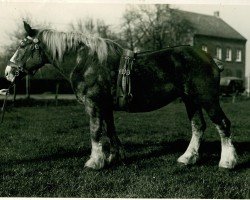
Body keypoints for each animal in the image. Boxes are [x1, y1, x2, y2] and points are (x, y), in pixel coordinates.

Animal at [4, 21, 238, 169]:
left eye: (23, 45)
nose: (8, 72)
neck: (86, 62)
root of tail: (209, 58)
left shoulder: (94, 105)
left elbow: (96, 132)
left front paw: (95, 162)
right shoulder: (105, 106)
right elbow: (110, 131)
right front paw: (114, 157)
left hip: (207, 99)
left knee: (223, 124)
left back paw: (227, 162)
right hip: (191, 100)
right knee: (198, 127)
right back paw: (188, 158)